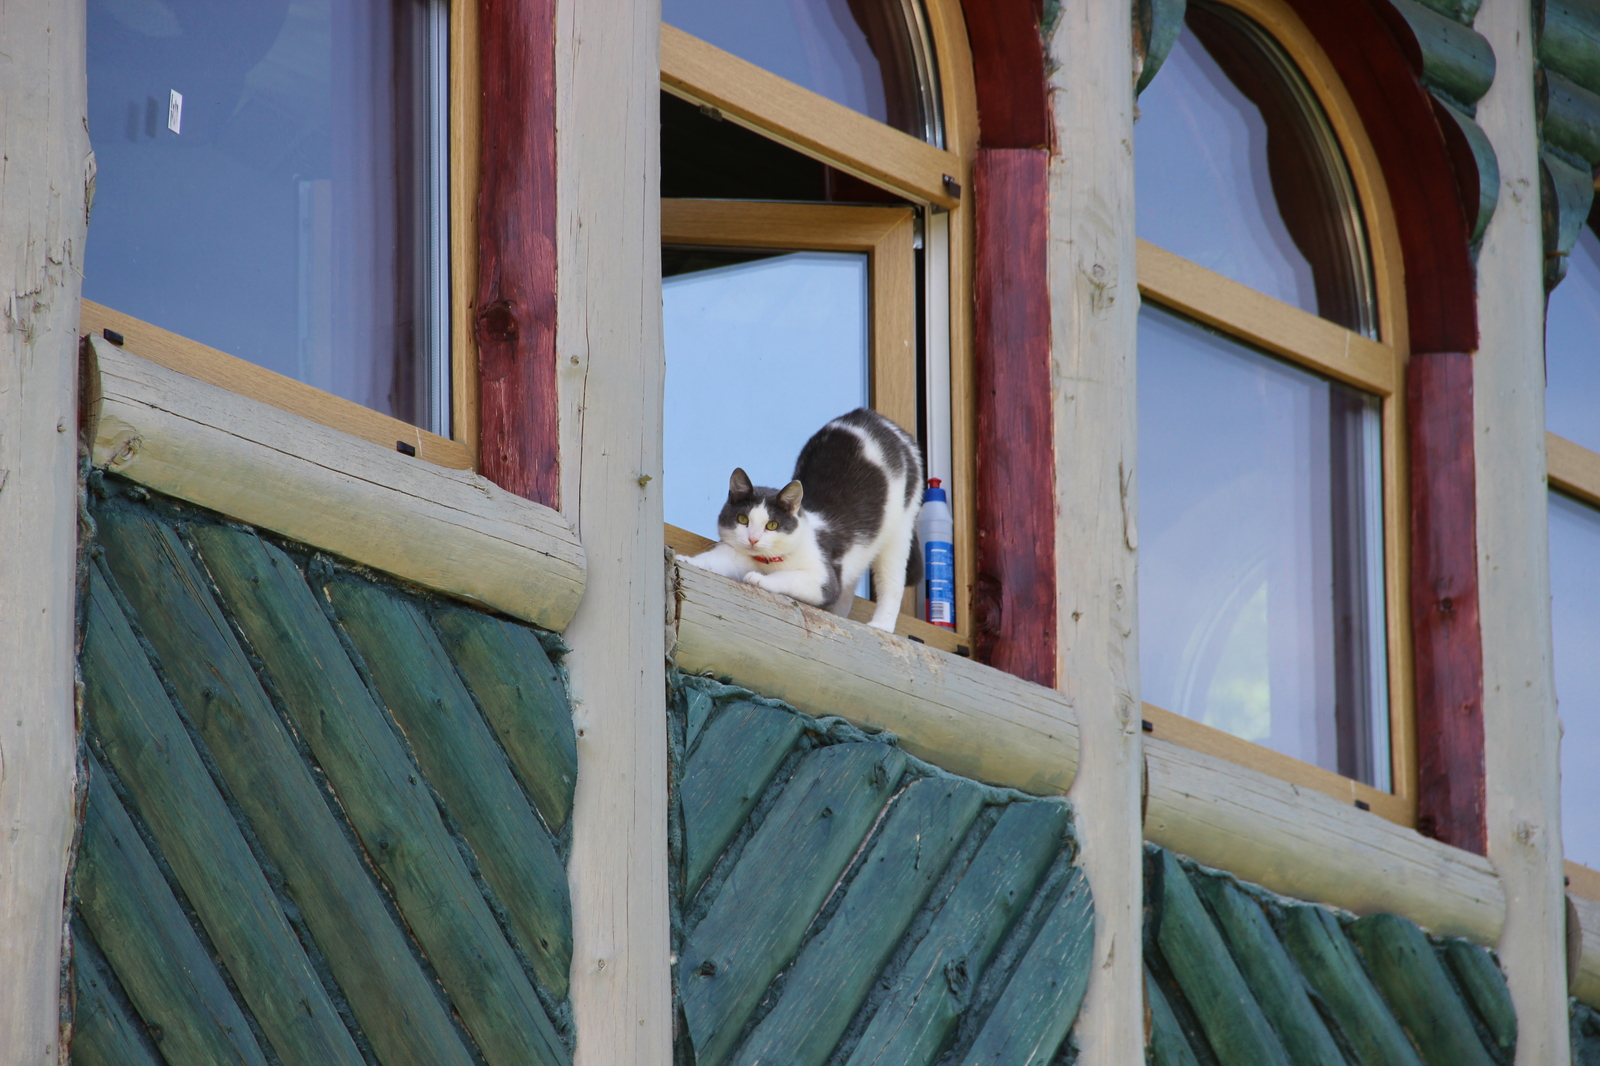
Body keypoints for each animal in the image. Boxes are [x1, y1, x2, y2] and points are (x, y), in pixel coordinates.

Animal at [678, 404, 928, 624]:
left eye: (772, 525)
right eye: (743, 519)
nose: (753, 539)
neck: (766, 561)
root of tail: (879, 419)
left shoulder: (823, 579)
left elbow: (790, 578)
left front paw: (758, 578)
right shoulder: (732, 555)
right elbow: (711, 561)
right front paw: (686, 559)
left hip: (900, 529)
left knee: (892, 585)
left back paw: (880, 625)